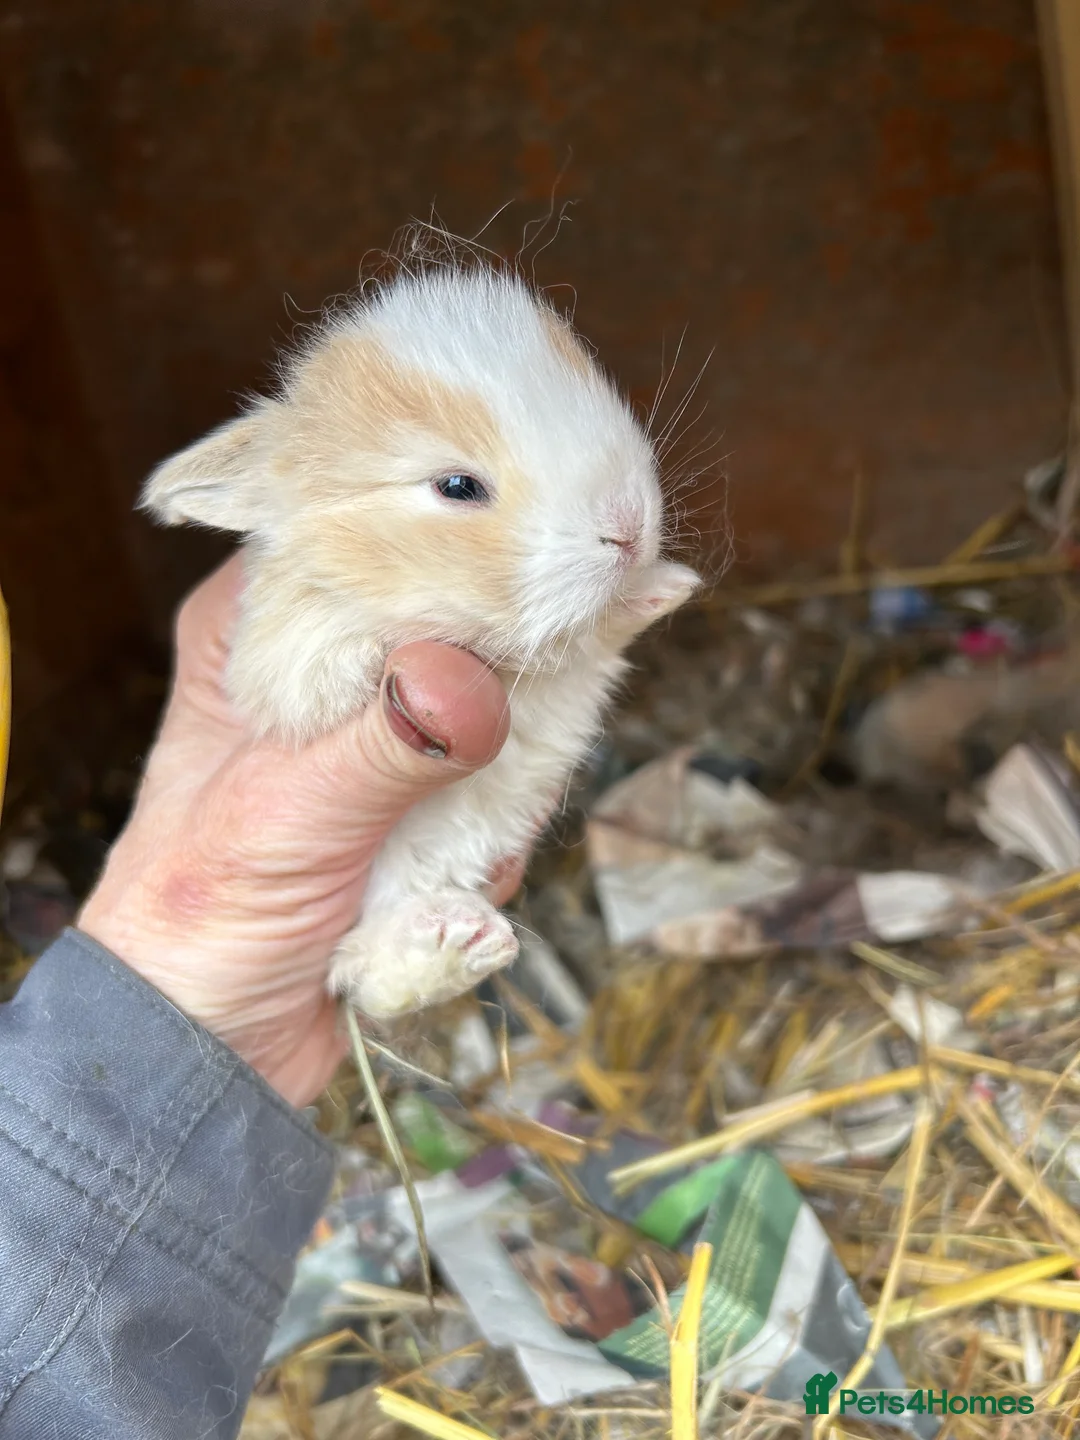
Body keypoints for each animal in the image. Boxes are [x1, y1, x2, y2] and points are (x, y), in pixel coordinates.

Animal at [140, 252, 700, 1019]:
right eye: (457, 486)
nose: (629, 525)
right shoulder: (279, 663)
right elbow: (316, 669)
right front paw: (375, 661)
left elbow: (591, 642)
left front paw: (665, 585)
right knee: (368, 979)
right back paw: (451, 942)